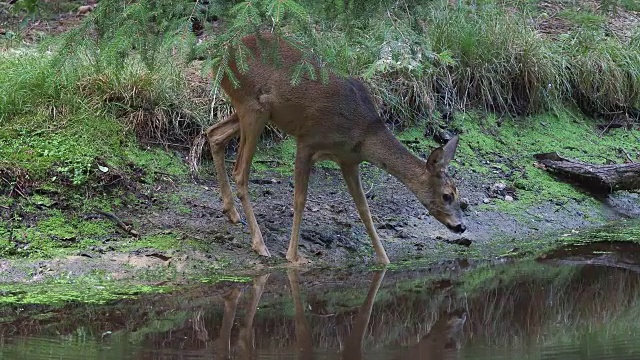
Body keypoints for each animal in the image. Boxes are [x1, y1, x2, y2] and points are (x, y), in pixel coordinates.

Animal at [208, 33, 468, 264]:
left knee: (214, 134)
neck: (363, 132)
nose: (461, 226)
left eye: (459, 194)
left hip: (252, 111)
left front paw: (384, 260)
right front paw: (293, 256)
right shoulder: (307, 141)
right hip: (253, 107)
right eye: (447, 195)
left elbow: (364, 210)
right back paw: (259, 244)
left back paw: (231, 212)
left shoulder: (349, 160)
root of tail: (221, 56)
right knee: (240, 171)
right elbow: (300, 199)